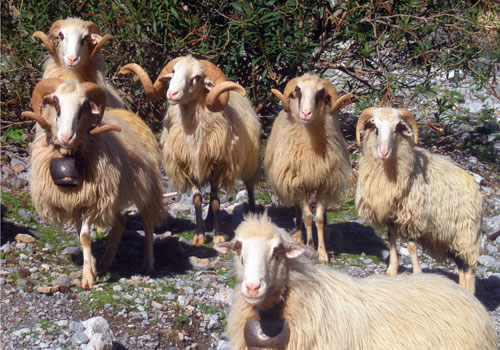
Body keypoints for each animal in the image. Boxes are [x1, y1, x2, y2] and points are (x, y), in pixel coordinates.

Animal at [22, 79, 162, 290]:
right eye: (56, 103)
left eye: (84, 107)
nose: (66, 137)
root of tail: (129, 114)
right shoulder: (75, 201)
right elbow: (80, 233)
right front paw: (94, 267)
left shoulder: (93, 201)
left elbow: (85, 237)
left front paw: (88, 278)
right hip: (113, 195)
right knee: (120, 222)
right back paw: (106, 261)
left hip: (147, 187)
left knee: (148, 222)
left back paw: (148, 263)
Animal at [118, 55, 260, 246]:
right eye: (173, 72)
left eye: (197, 78)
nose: (172, 94)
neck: (193, 131)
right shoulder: (190, 165)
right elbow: (198, 199)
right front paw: (199, 234)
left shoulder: (218, 164)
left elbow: (215, 201)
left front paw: (218, 235)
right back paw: (208, 222)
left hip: (250, 158)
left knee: (249, 185)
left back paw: (251, 212)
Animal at [264, 74, 354, 262]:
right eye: (298, 90)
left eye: (320, 93)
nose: (306, 113)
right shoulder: (297, 183)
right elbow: (307, 216)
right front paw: (310, 244)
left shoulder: (326, 184)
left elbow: (318, 218)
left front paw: (323, 252)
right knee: (299, 211)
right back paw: (299, 236)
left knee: (323, 216)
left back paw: (325, 234)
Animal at [354, 106, 482, 292]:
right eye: (376, 129)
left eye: (396, 129)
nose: (383, 152)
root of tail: (473, 184)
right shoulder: (391, 217)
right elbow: (391, 240)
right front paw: (392, 269)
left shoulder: (413, 217)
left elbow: (412, 246)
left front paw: (417, 273)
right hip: (451, 237)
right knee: (461, 266)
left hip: (466, 232)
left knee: (470, 267)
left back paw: (469, 292)